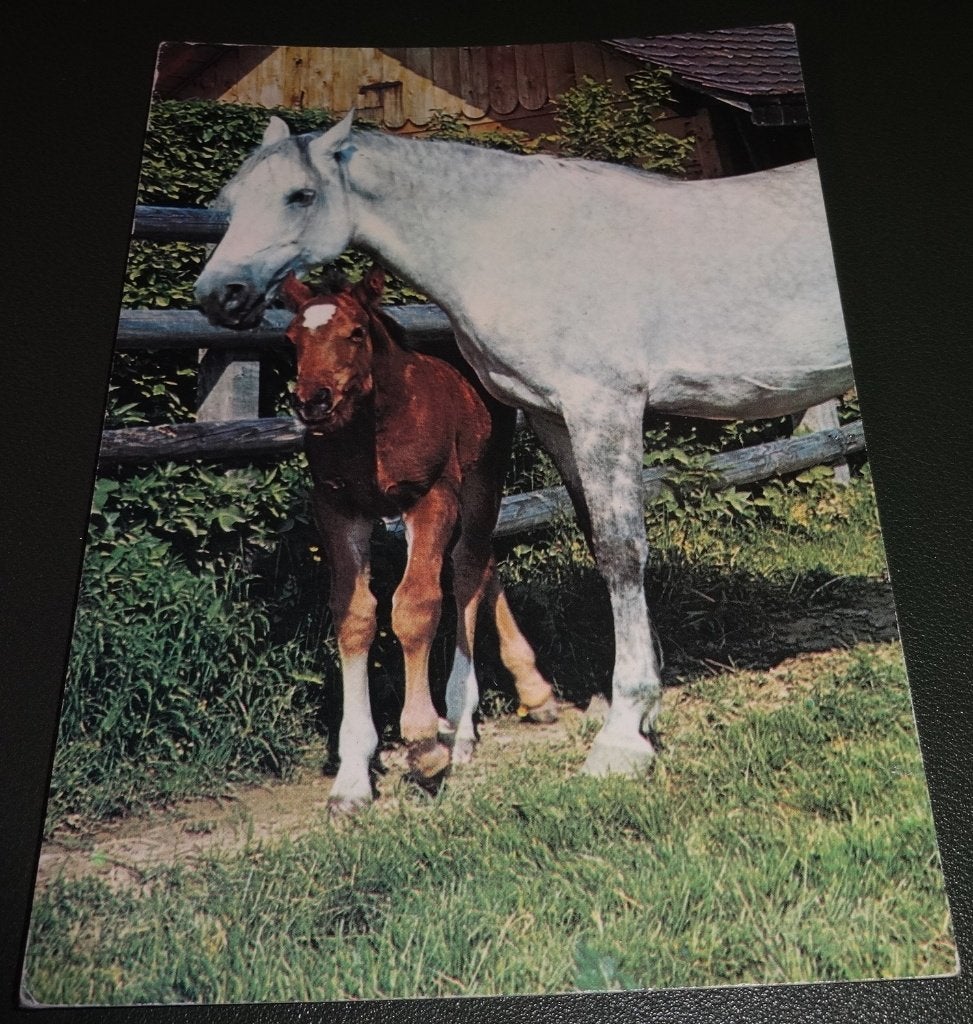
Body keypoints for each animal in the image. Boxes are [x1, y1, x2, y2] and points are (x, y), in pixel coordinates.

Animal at [280, 265, 557, 812]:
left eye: (356, 333)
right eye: (293, 338)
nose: (312, 401)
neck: (375, 427)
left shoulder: (430, 498)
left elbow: (416, 605)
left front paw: (424, 743)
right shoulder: (338, 509)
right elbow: (356, 616)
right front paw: (351, 779)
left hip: (481, 480)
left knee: (469, 568)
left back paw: (462, 724)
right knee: (483, 561)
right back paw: (528, 690)